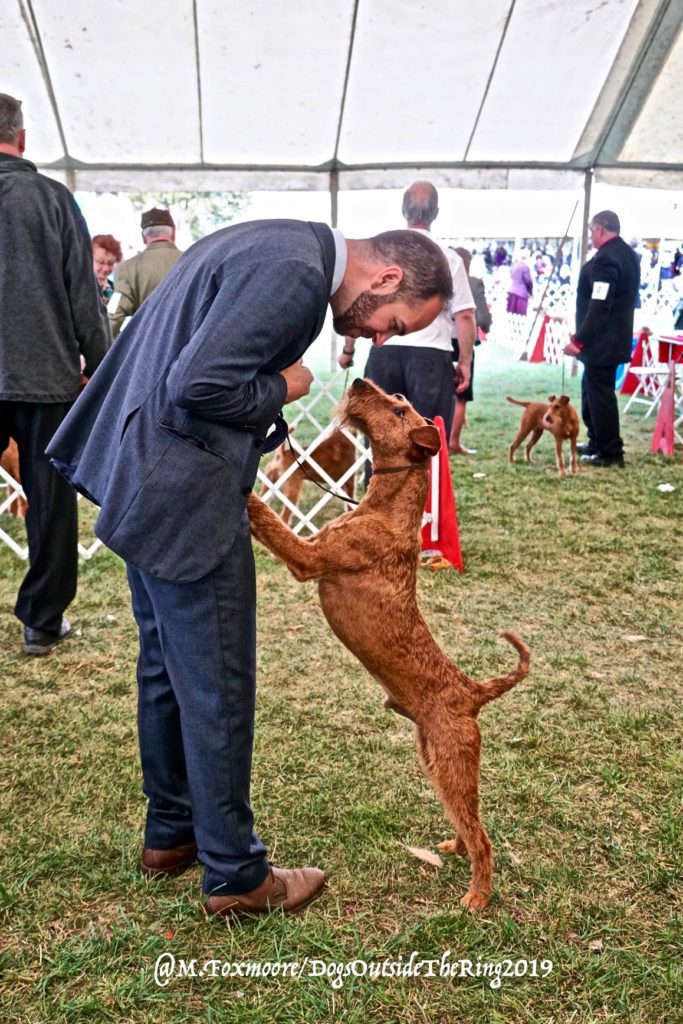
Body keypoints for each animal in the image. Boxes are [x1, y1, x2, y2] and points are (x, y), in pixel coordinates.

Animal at [248, 378, 532, 913]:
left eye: (400, 410)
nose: (360, 381)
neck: (386, 508)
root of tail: (473, 693)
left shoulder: (307, 559)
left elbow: (272, 522)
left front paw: (249, 496)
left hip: (452, 761)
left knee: (484, 838)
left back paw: (477, 898)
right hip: (435, 763)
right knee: (467, 822)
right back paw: (453, 847)